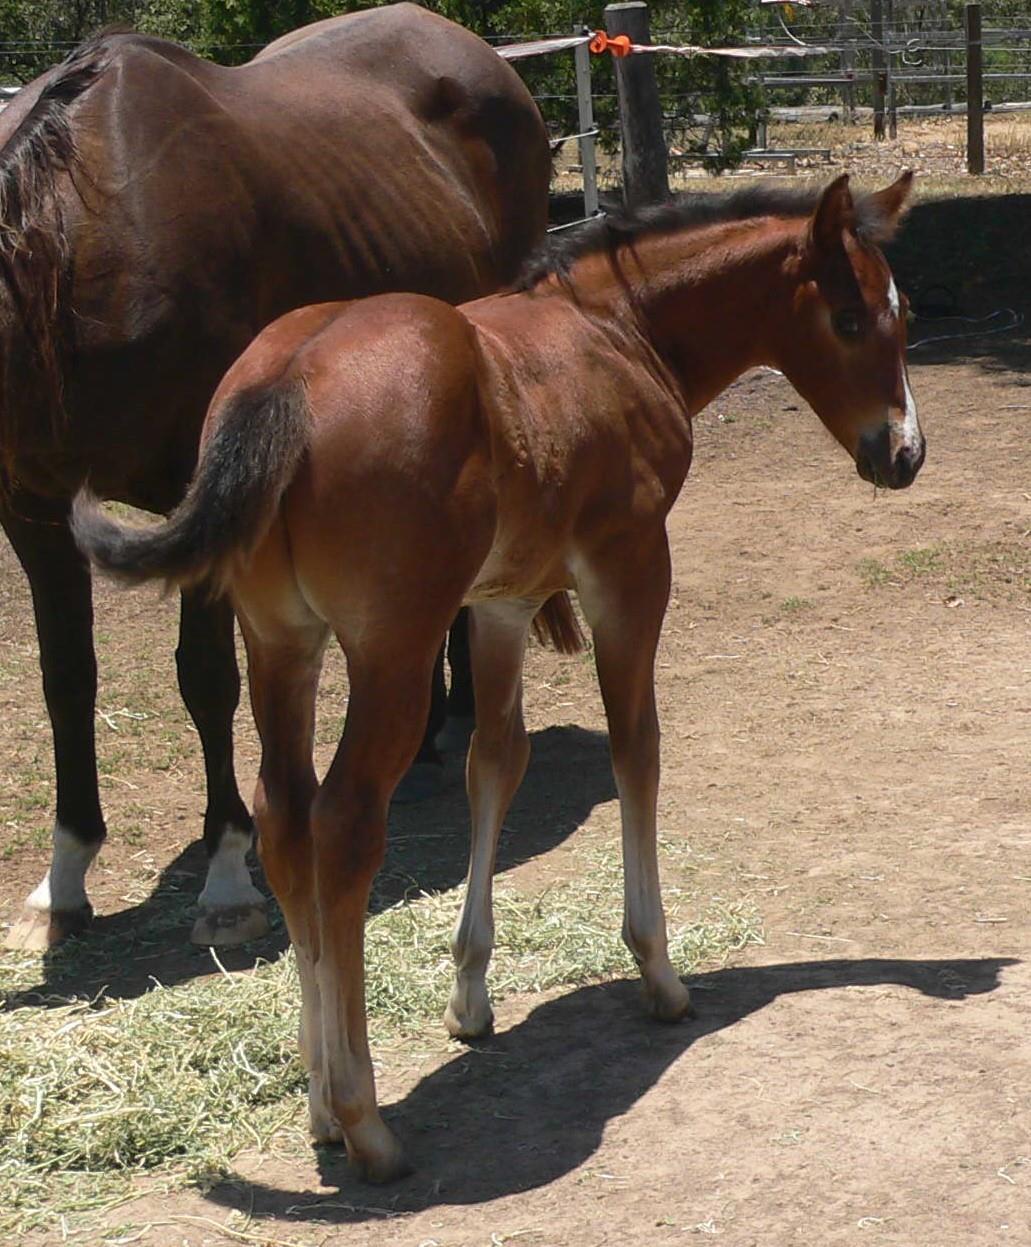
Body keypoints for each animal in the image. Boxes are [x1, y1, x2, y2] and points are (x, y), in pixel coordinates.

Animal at [0, 4, 550, 952]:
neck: (85, 244)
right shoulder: (33, 510)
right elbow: (65, 681)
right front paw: (61, 882)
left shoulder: (205, 497)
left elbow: (206, 678)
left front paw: (226, 877)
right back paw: (431, 738)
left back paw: (453, 726)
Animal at [73, 171, 925, 1180]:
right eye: (848, 317)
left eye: (903, 314)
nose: (902, 454)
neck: (615, 328)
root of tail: (282, 384)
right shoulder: (630, 566)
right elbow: (636, 747)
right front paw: (658, 969)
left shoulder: (502, 601)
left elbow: (495, 761)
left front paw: (470, 994)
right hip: (392, 650)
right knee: (344, 825)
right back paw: (365, 1119)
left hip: (281, 642)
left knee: (284, 817)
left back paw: (319, 1102)